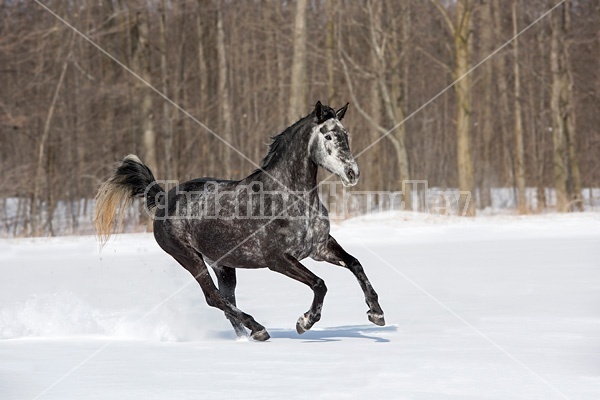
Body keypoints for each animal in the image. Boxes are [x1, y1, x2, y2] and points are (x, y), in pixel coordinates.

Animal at [94, 101, 384, 340]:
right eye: (328, 136)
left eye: (346, 135)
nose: (352, 173)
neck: (291, 198)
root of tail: (164, 197)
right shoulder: (277, 259)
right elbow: (319, 284)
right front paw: (305, 322)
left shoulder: (319, 248)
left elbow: (355, 264)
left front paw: (376, 313)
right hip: (190, 258)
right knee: (213, 298)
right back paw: (259, 329)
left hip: (223, 265)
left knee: (226, 300)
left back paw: (248, 334)